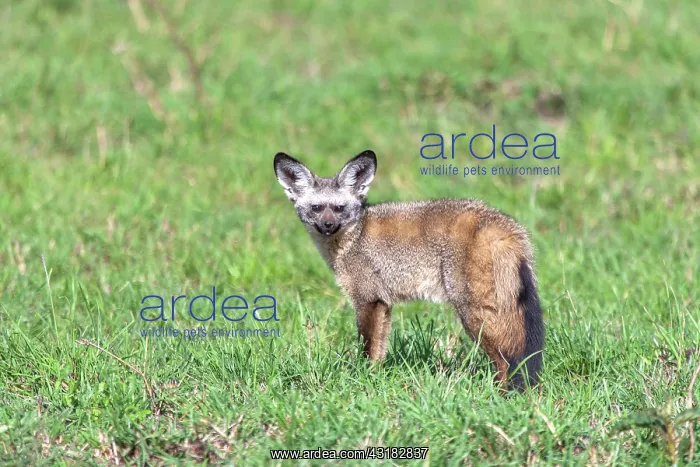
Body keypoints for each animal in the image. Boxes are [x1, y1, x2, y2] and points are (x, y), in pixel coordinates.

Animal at [273, 150, 544, 390]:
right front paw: (373, 381)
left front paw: (360, 382)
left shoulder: (367, 300)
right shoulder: (383, 304)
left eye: (339, 208)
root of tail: (504, 226)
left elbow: (366, 349)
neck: (355, 237)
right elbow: (378, 353)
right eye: (317, 208)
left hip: (474, 314)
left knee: (506, 361)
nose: (328, 225)